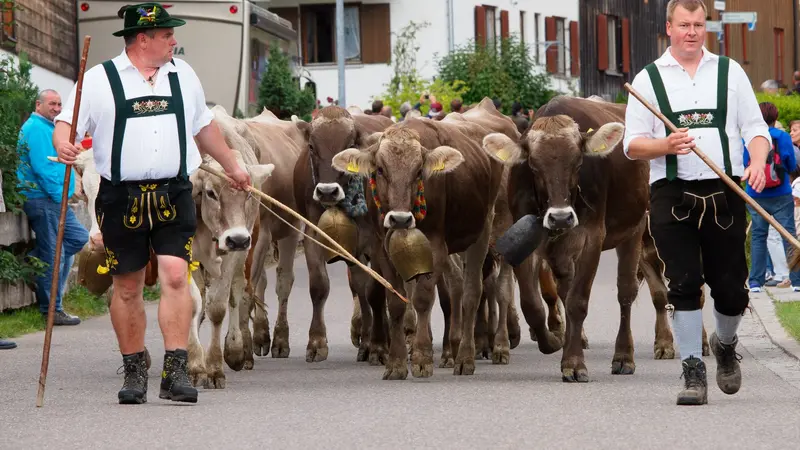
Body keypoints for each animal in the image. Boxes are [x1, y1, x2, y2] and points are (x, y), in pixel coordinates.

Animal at [482, 96, 648, 384]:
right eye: (533, 166)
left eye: (578, 163)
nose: (560, 217)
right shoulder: (526, 240)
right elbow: (532, 304)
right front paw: (553, 341)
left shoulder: (592, 238)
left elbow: (578, 302)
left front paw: (573, 363)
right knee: (564, 289)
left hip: (634, 229)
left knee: (625, 292)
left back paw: (623, 357)